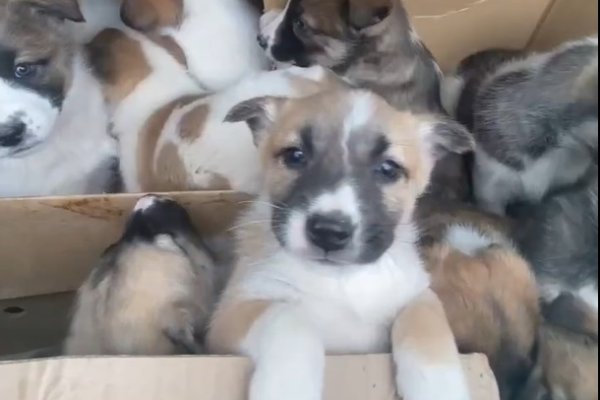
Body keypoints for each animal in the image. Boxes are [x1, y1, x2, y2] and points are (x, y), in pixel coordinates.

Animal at [207, 87, 475, 400]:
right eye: (295, 156)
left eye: (388, 169)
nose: (328, 232)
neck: (340, 280)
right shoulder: (231, 314)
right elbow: (289, 319)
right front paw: (287, 387)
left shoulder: (418, 296)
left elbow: (428, 335)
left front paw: (441, 389)